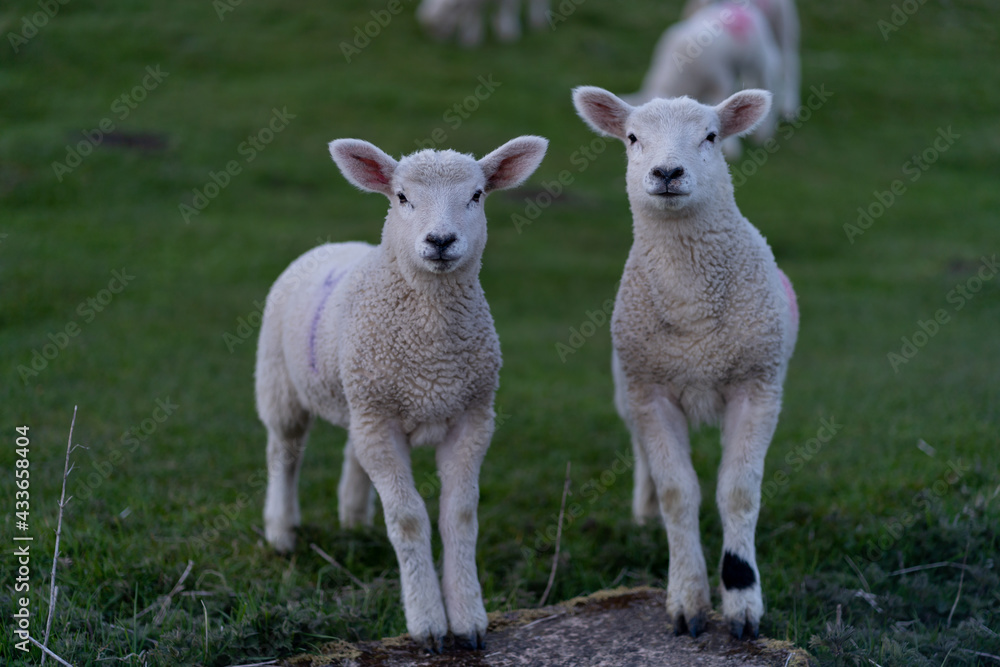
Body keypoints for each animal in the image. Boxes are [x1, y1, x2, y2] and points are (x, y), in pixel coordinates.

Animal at [252, 133, 548, 648]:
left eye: (477, 195)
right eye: (402, 197)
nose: (440, 241)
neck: (431, 354)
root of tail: (332, 245)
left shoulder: (471, 417)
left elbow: (460, 515)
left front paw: (468, 619)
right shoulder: (383, 420)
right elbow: (408, 517)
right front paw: (427, 623)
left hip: (361, 395)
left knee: (350, 451)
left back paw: (353, 519)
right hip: (281, 383)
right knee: (284, 454)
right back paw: (282, 532)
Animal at [416, 0, 552, 47]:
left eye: (445, 25)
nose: (438, 43)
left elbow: (508, 7)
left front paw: (507, 33)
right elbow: (475, 11)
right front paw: (471, 38)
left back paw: (539, 21)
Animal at [576, 86, 800, 640]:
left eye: (711, 136)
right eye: (632, 137)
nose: (667, 173)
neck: (692, 313)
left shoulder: (757, 386)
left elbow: (738, 492)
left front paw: (742, 600)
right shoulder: (651, 392)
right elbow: (678, 491)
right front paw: (686, 600)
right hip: (627, 386)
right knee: (642, 456)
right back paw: (643, 514)